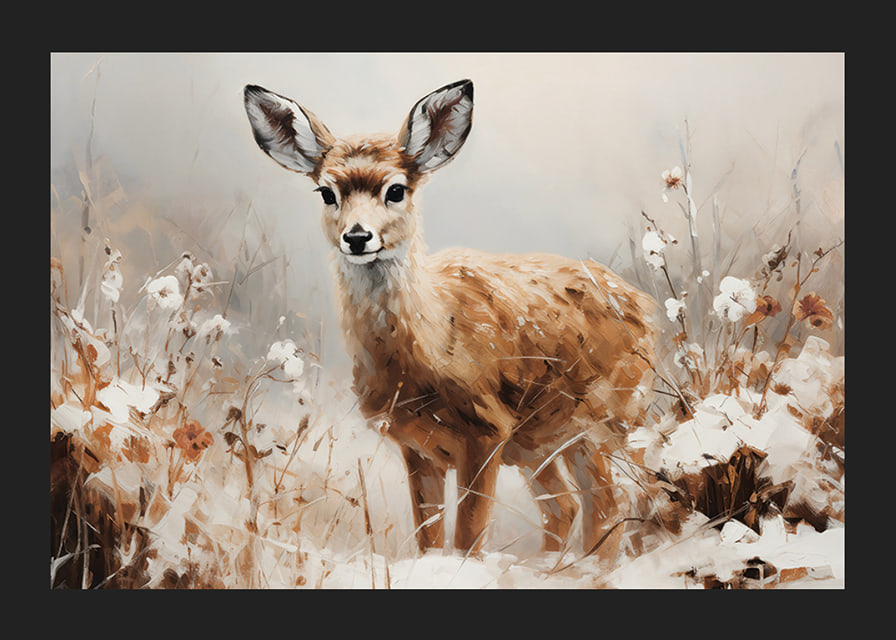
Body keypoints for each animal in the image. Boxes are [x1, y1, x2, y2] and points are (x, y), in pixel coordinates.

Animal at [243, 79, 657, 565]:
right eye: (327, 192)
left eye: (396, 190)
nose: (358, 237)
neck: (428, 346)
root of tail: (646, 307)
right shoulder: (417, 445)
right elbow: (429, 535)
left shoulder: (486, 428)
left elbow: (468, 536)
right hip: (540, 442)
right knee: (568, 505)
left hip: (605, 418)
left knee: (611, 503)